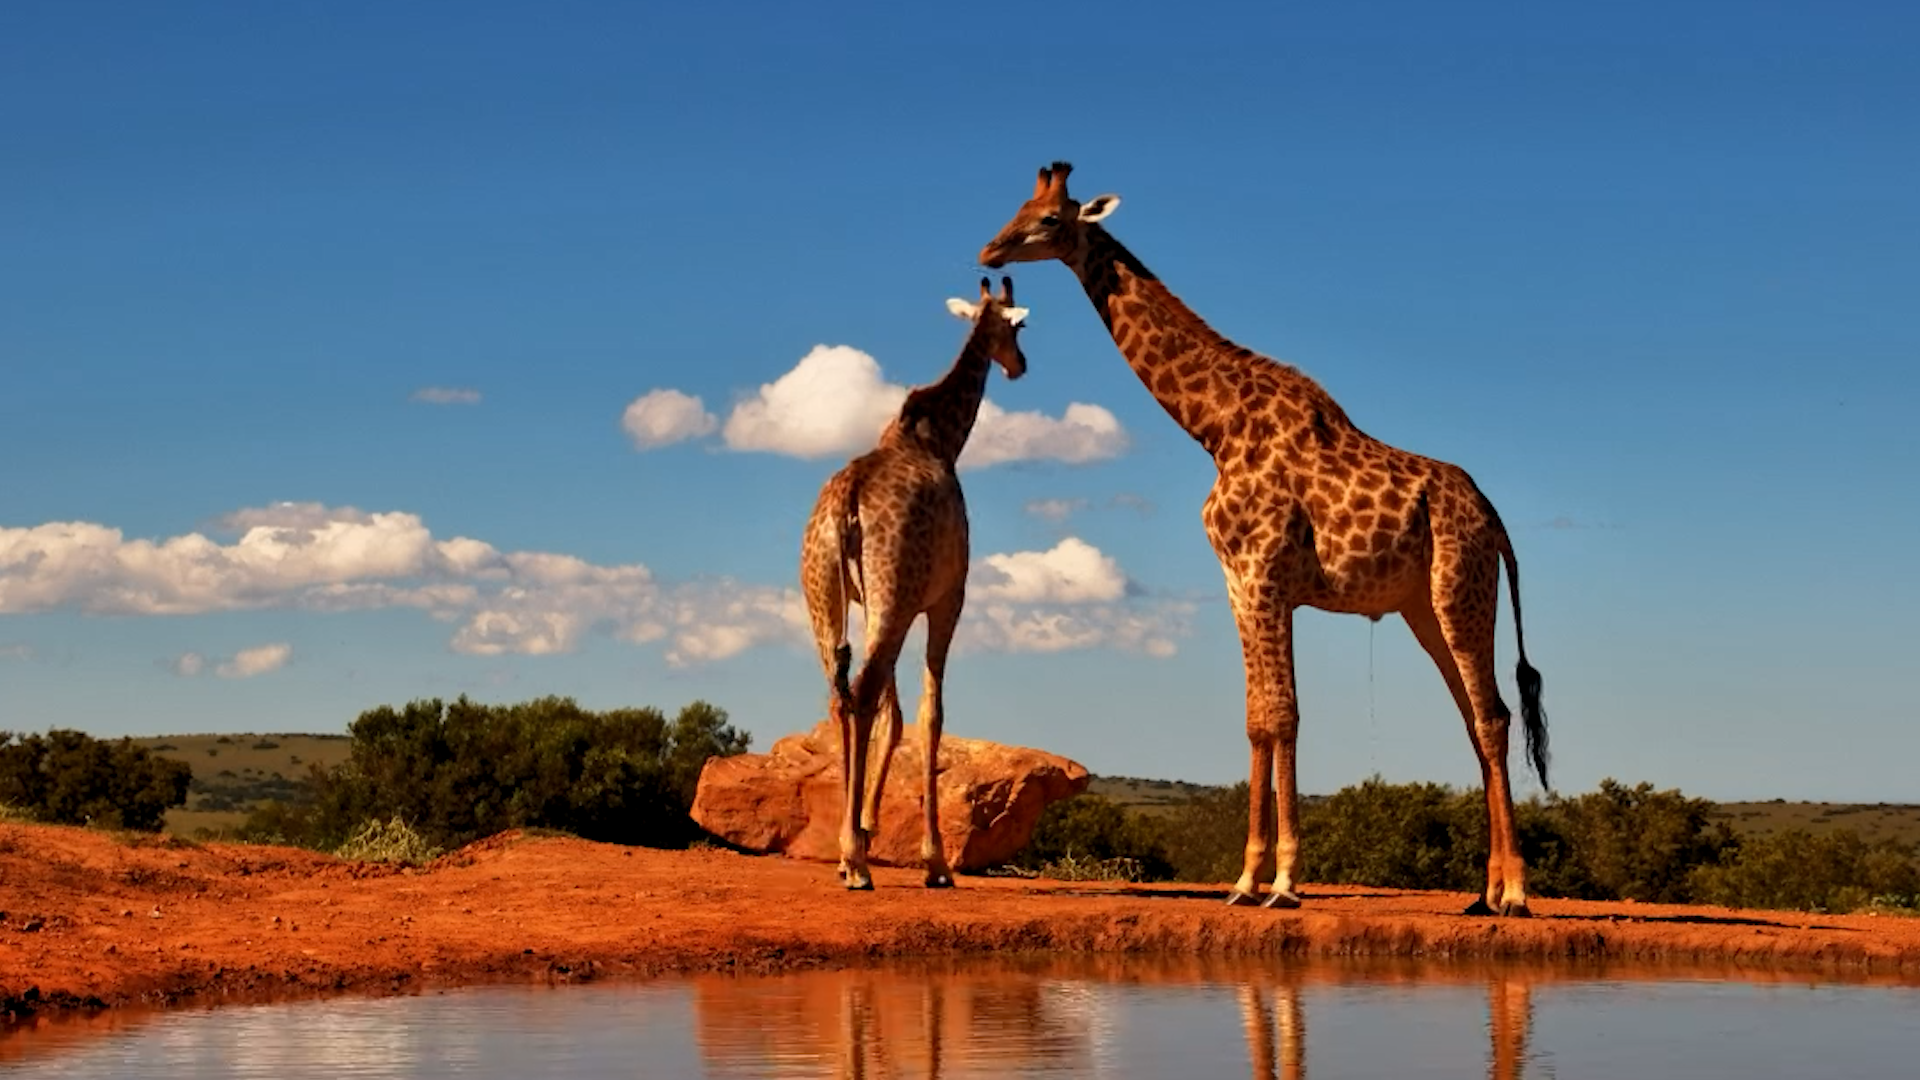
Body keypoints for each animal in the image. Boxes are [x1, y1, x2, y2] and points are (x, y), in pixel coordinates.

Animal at [798, 276, 1030, 890]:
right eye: (1019, 327)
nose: (1020, 365)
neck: (940, 440)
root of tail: (846, 501)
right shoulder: (949, 597)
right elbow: (931, 716)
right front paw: (935, 861)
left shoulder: (884, 604)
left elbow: (896, 715)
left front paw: (870, 827)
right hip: (894, 597)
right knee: (864, 691)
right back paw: (857, 863)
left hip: (827, 598)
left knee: (842, 694)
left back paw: (848, 853)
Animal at [979, 162, 1549, 916]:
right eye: (1018, 206)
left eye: (1047, 220)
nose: (989, 252)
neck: (1214, 426)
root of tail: (1496, 520)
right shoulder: (1238, 581)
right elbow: (1257, 717)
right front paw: (1246, 880)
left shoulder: (1264, 573)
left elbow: (1283, 714)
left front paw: (1281, 882)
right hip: (1421, 607)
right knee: (1480, 717)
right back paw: (1482, 894)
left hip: (1463, 590)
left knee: (1492, 717)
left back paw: (1514, 892)